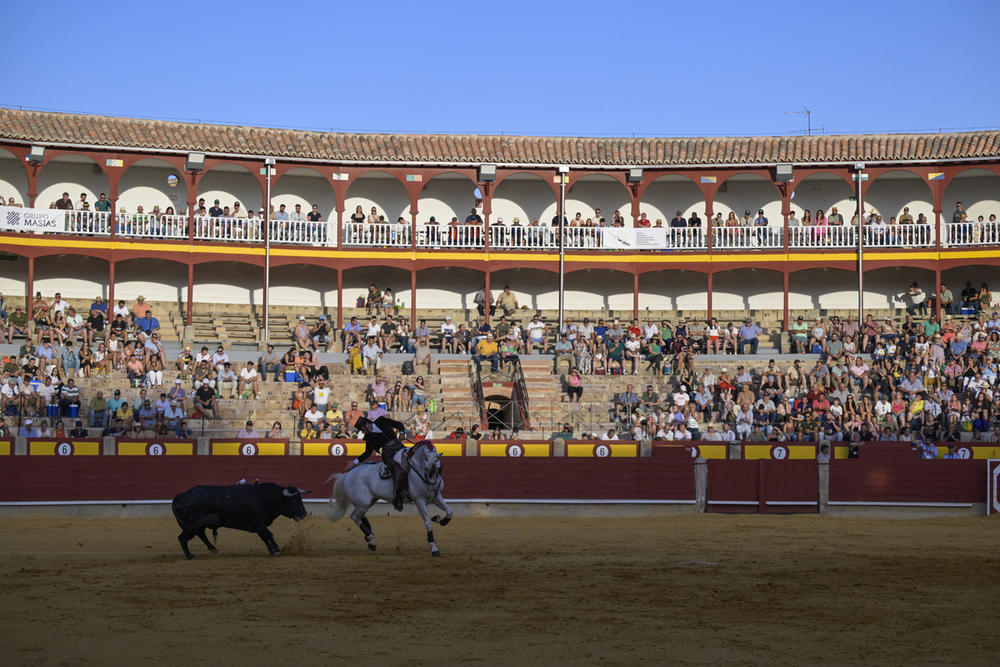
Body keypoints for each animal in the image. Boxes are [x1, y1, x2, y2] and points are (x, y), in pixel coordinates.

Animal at [172, 486, 310, 560]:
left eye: (300, 498)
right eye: (293, 501)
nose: (304, 513)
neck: (263, 498)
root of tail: (180, 496)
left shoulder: (258, 526)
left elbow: (264, 537)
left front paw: (271, 550)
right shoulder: (257, 524)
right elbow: (269, 535)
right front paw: (276, 550)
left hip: (197, 525)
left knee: (200, 534)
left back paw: (213, 549)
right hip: (190, 526)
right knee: (182, 538)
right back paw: (190, 556)